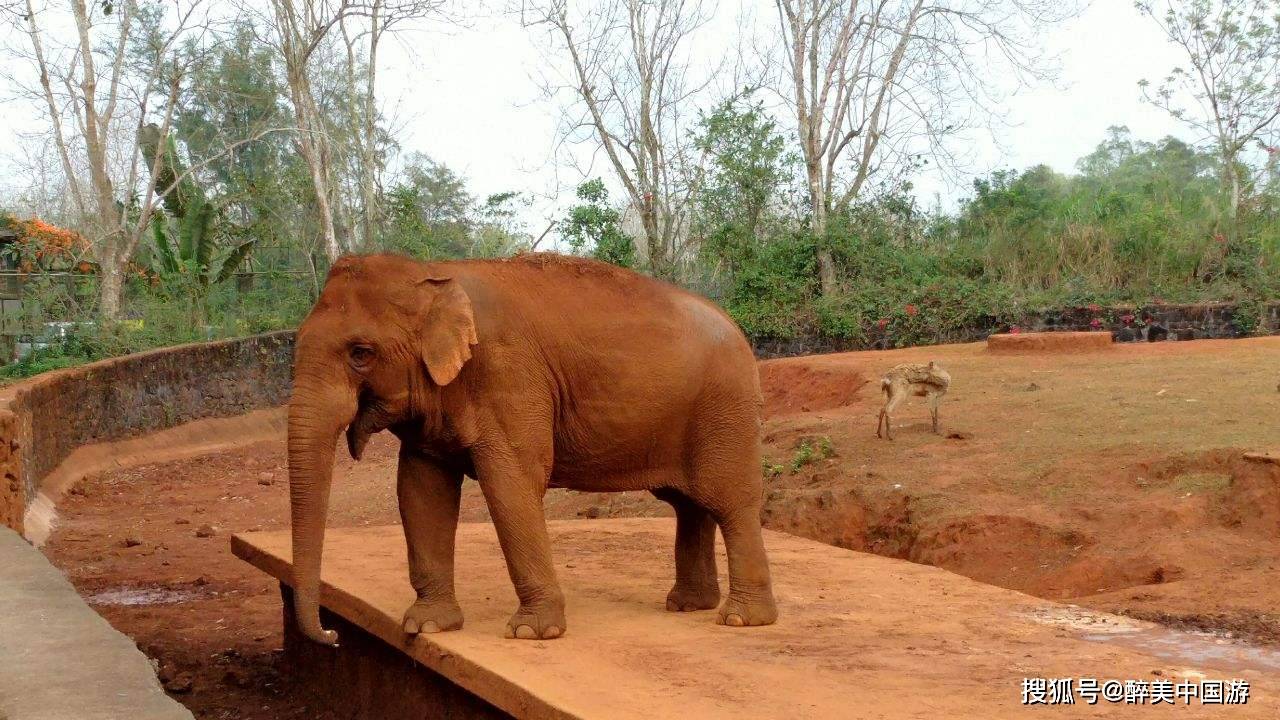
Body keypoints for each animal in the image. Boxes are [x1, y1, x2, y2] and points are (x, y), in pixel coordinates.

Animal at [290, 252, 778, 645]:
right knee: (688, 504)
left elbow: (512, 483)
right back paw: (688, 605)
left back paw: (741, 619)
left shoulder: (510, 376)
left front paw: (531, 632)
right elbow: (420, 490)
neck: (434, 274)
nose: (333, 635)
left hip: (726, 410)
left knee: (728, 502)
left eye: (360, 352)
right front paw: (426, 626)